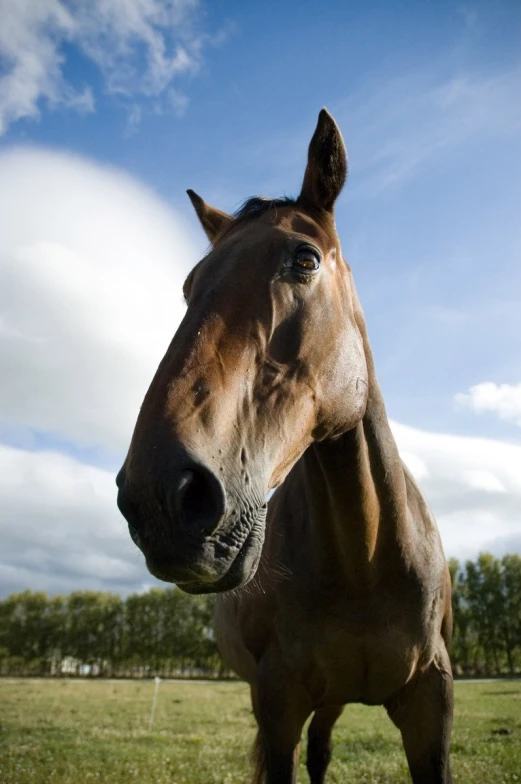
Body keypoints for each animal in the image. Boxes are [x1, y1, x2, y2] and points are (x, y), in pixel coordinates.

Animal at [116, 107, 452, 780]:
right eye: (189, 287)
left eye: (305, 259)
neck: (363, 561)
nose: (162, 497)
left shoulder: (431, 702)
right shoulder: (277, 706)